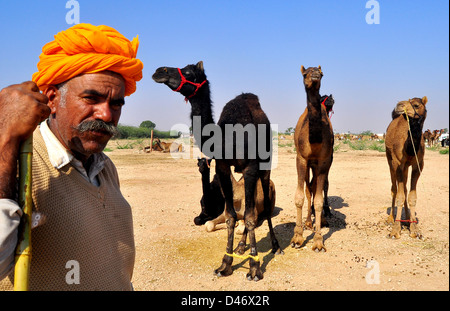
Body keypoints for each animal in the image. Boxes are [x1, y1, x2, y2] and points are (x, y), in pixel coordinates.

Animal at [154, 61, 282, 282]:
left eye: (189, 72)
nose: (159, 71)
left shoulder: (251, 166)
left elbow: (250, 216)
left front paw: (254, 268)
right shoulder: (222, 166)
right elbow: (231, 216)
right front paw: (225, 264)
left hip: (265, 165)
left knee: (264, 205)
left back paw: (275, 245)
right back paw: (241, 247)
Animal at [384, 97, 428, 239]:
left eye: (416, 105)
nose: (399, 105)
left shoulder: (418, 164)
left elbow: (411, 195)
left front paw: (414, 229)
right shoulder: (398, 163)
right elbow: (399, 195)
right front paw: (395, 230)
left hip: (405, 167)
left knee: (404, 188)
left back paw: (408, 218)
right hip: (390, 160)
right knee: (394, 189)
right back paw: (391, 218)